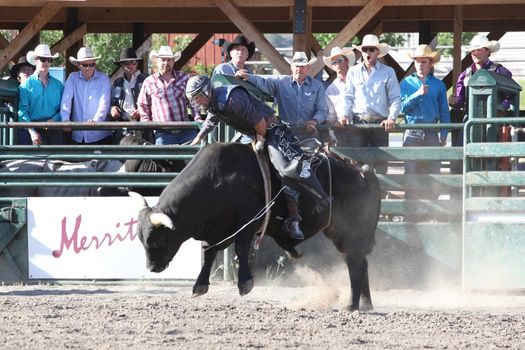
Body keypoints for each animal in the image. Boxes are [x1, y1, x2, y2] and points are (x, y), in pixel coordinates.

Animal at [133, 142, 378, 312]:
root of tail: (364, 173)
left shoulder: (247, 222)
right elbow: (210, 252)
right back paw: (365, 304)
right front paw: (200, 286)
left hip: (353, 231)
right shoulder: (216, 231)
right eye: (141, 240)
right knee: (361, 263)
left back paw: (352, 305)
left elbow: (241, 249)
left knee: (356, 265)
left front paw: (246, 283)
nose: (152, 267)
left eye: (157, 240)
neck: (217, 180)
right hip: (340, 234)